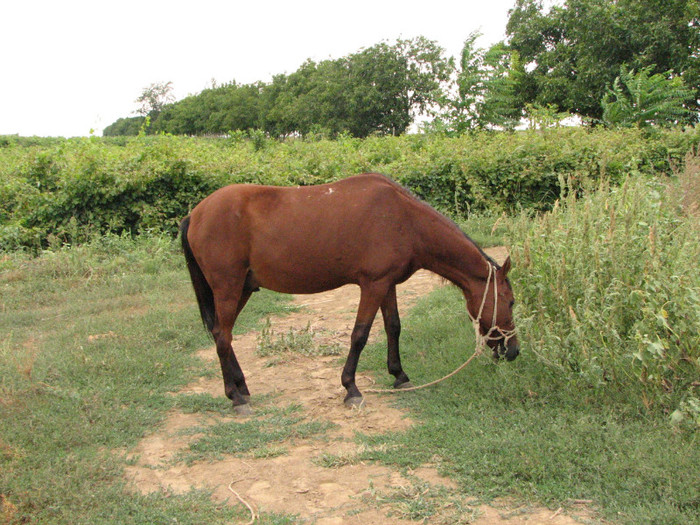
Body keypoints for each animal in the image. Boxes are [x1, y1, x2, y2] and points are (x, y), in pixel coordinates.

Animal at [180, 171, 520, 410]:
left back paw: (242, 388)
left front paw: (399, 376)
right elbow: (360, 334)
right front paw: (351, 389)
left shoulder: (387, 284)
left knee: (220, 334)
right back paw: (235, 398)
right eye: (511, 302)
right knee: (223, 337)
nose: (513, 351)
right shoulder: (372, 284)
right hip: (228, 288)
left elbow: (393, 326)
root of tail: (195, 214)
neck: (405, 219)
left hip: (242, 289)